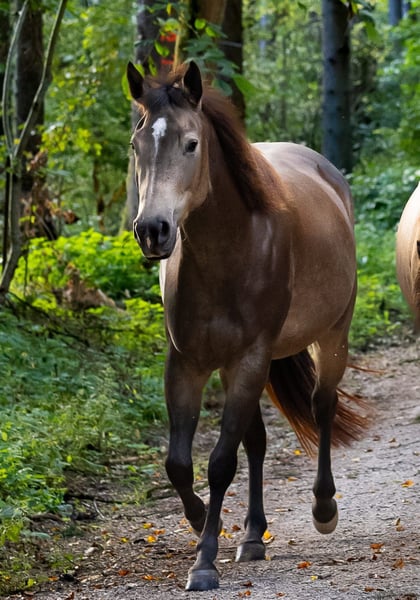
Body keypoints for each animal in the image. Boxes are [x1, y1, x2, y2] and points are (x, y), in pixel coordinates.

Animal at [126, 60, 366, 591]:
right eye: (136, 145)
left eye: (191, 143)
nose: (153, 231)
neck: (230, 251)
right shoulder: (188, 363)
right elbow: (179, 463)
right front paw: (201, 521)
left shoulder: (250, 359)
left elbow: (219, 463)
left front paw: (204, 560)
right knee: (256, 441)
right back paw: (254, 535)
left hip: (330, 337)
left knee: (321, 407)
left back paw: (324, 508)